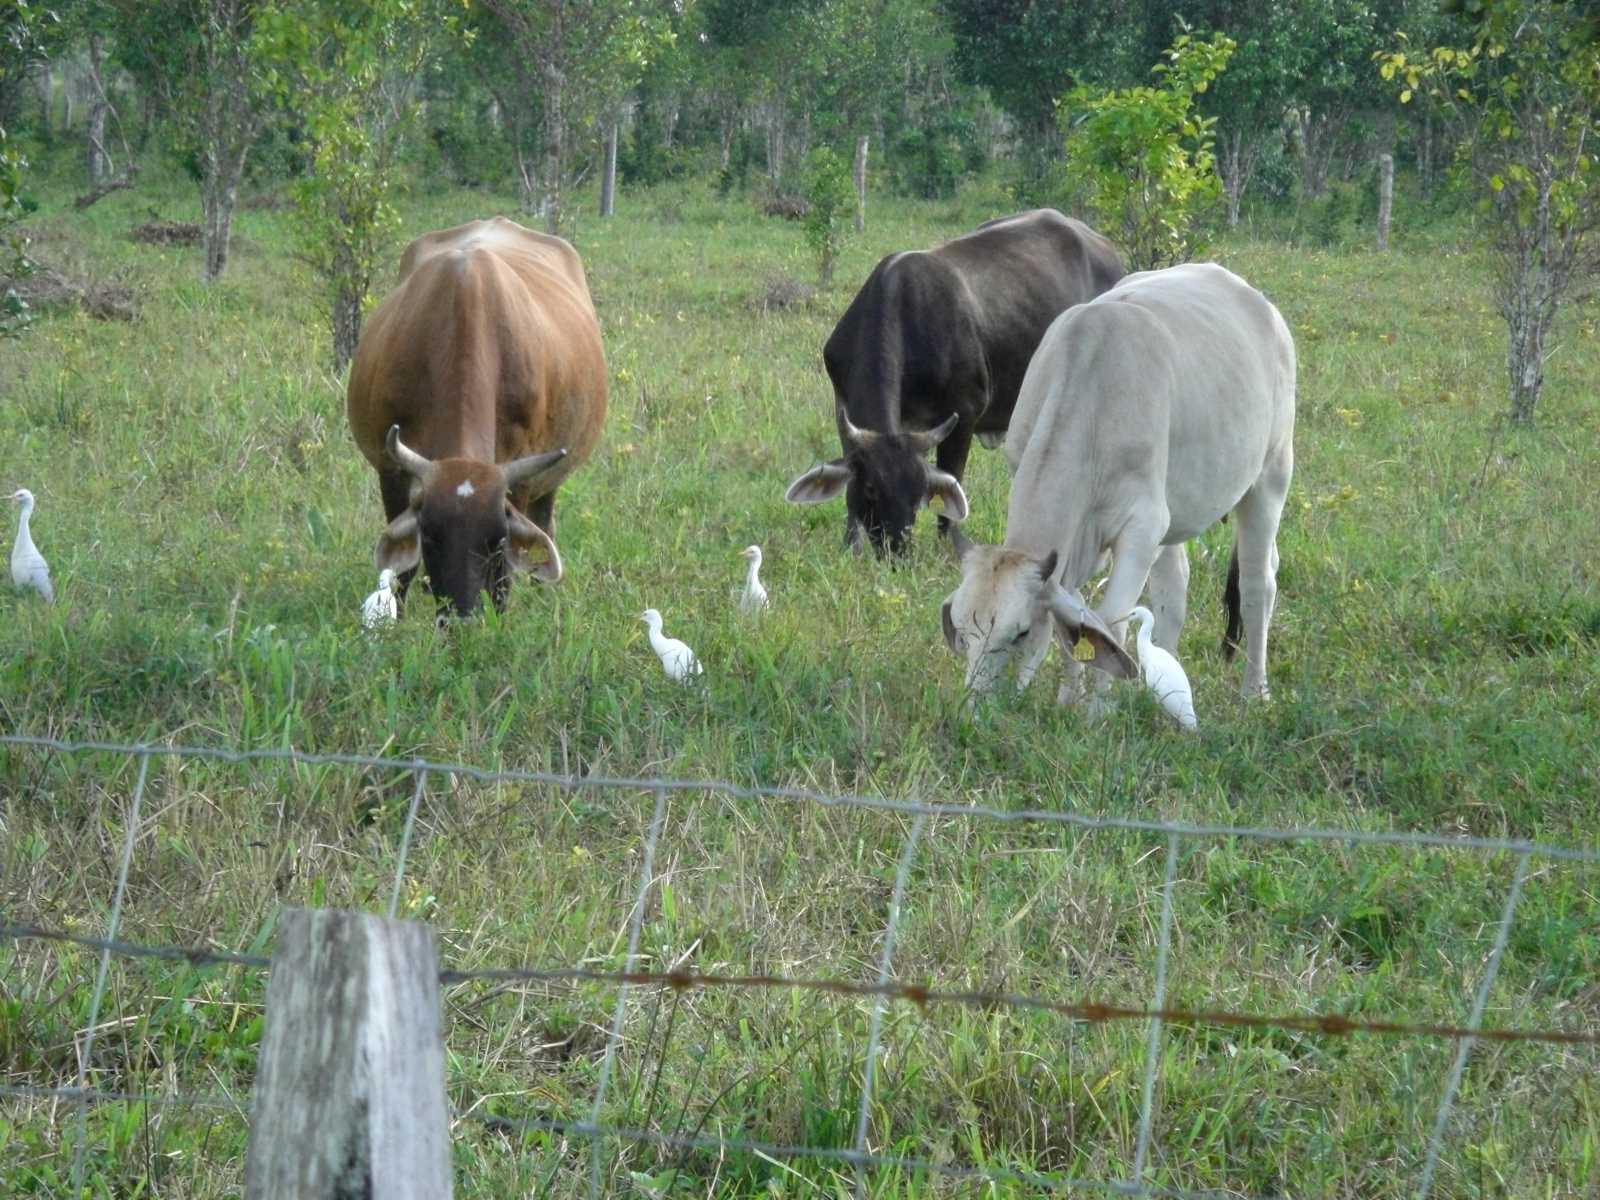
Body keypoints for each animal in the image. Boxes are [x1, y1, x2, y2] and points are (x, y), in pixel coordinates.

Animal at [347, 219, 601, 620]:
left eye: (497, 541)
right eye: (430, 535)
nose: (461, 619)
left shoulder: (520, 482)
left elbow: (505, 579)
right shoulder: (391, 472)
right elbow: (401, 572)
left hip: (550, 484)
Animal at [940, 265, 1292, 704]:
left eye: (1020, 632)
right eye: (961, 629)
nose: (976, 707)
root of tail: (1262, 305)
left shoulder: (1142, 527)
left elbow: (1111, 623)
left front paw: (1097, 711)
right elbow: (1075, 615)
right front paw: (1068, 699)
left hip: (1271, 475)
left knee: (1258, 584)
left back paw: (1254, 691)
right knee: (1174, 590)